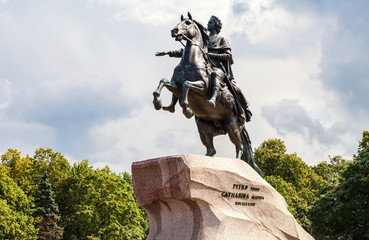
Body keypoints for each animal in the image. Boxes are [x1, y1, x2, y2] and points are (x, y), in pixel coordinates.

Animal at [152, 13, 262, 176]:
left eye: (188, 22)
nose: (174, 31)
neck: (190, 62)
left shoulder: (202, 88)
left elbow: (187, 85)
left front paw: (187, 108)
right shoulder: (176, 87)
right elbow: (163, 81)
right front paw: (158, 102)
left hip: (232, 126)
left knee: (240, 147)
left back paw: (236, 165)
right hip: (203, 127)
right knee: (211, 150)